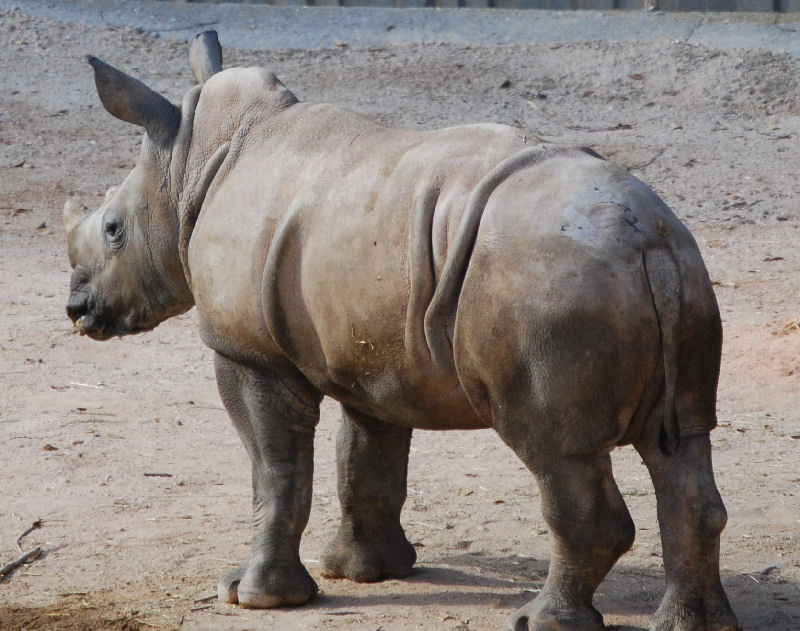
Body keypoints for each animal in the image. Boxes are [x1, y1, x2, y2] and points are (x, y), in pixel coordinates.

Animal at [62, 33, 736, 631]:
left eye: (115, 230)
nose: (76, 308)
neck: (190, 165)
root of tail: (647, 240)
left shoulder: (250, 352)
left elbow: (276, 471)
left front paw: (251, 597)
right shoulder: (372, 354)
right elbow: (364, 460)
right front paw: (364, 572)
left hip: (555, 296)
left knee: (558, 451)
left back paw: (539, 622)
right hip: (681, 273)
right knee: (682, 448)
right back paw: (693, 624)